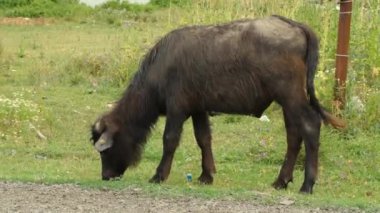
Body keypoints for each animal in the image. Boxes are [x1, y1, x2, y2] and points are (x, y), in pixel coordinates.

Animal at [90, 15, 344, 194]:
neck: (161, 67)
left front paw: (159, 175)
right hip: (288, 101)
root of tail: (296, 26)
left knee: (310, 126)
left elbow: (169, 140)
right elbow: (204, 139)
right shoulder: (198, 109)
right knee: (293, 135)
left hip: (291, 96)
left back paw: (307, 184)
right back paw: (281, 181)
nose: (106, 176)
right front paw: (206, 175)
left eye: (106, 151)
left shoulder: (177, 109)